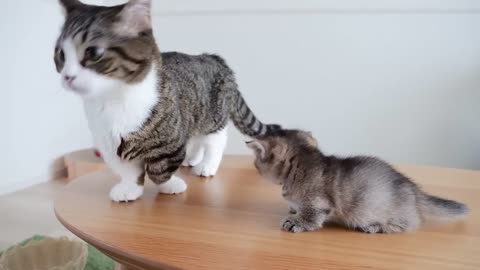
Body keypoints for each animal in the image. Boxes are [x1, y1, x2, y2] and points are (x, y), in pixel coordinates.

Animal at [55, 0, 282, 201]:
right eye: (60, 55)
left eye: (93, 52)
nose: (67, 76)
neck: (113, 102)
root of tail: (212, 57)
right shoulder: (110, 145)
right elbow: (128, 171)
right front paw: (130, 189)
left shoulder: (170, 141)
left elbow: (159, 170)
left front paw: (171, 185)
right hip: (194, 114)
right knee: (196, 138)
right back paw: (192, 159)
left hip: (212, 116)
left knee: (215, 141)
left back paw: (206, 165)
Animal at [248, 130, 468, 233]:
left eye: (257, 162)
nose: (254, 166)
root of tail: (414, 189)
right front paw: (293, 211)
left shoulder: (318, 204)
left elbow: (312, 217)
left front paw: (296, 222)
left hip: (385, 212)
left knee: (411, 224)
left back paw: (376, 227)